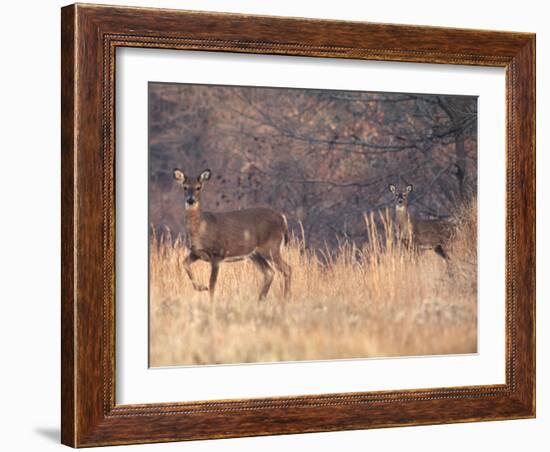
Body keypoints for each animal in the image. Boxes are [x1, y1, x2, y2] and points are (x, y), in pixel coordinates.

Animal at [175, 168, 294, 302]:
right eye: (185, 187)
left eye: (198, 187)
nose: (190, 199)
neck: (201, 228)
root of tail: (282, 218)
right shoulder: (196, 252)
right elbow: (184, 263)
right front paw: (201, 287)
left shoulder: (218, 253)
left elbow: (212, 285)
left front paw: (210, 301)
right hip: (254, 254)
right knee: (270, 272)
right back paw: (260, 300)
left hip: (270, 247)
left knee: (287, 269)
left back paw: (286, 298)